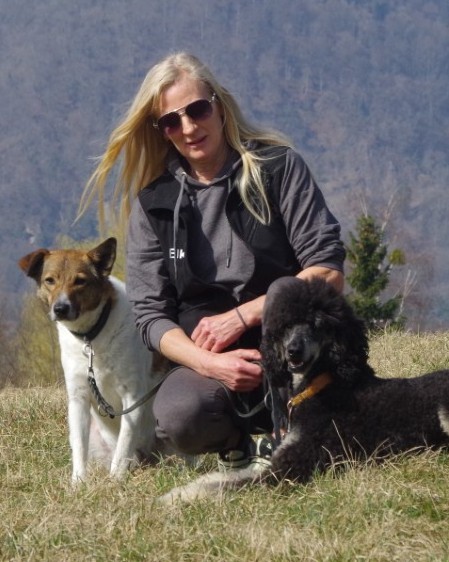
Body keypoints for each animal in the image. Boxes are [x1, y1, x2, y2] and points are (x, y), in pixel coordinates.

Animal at [18, 237, 167, 483]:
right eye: (50, 281)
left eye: (80, 281)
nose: (60, 308)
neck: (92, 336)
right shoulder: (78, 398)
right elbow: (79, 447)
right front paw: (78, 483)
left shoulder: (132, 397)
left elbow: (124, 444)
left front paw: (115, 480)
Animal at [159, 276, 449, 503]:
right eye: (286, 325)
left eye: (317, 324)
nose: (293, 351)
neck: (324, 384)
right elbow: (228, 476)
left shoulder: (291, 467)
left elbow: (227, 483)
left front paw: (179, 496)